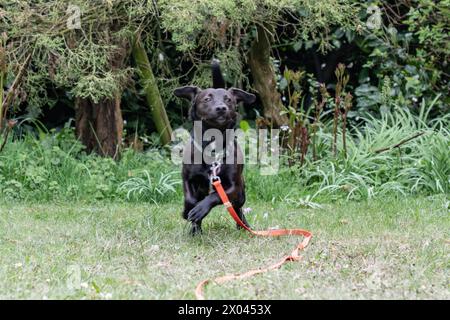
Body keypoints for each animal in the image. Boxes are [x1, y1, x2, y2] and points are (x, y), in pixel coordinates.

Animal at [173, 61, 255, 235]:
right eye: (207, 99)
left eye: (228, 99)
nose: (221, 108)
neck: (213, 143)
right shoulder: (188, 179)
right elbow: (190, 199)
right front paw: (189, 210)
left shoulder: (234, 187)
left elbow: (216, 195)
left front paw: (200, 209)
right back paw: (195, 231)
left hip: (241, 193)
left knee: (237, 208)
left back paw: (244, 226)